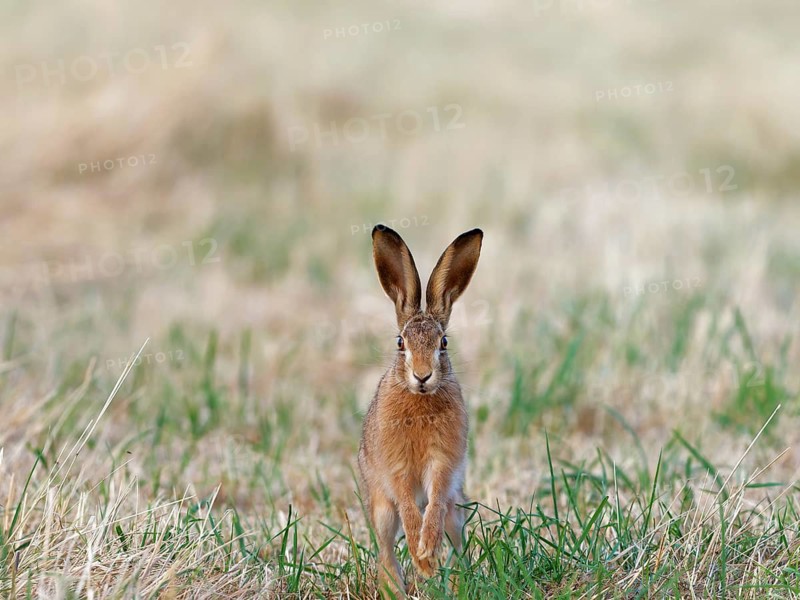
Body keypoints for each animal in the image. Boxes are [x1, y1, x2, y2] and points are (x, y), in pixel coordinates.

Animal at [358, 224, 483, 594]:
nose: (423, 376)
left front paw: (427, 553)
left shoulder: (442, 462)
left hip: (456, 509)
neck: (420, 400)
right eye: (401, 342)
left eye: (444, 342)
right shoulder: (396, 467)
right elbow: (405, 500)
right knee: (386, 550)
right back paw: (396, 589)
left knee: (456, 542)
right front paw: (421, 553)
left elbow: (436, 493)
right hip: (381, 509)